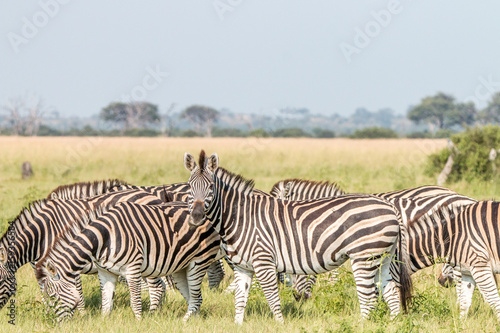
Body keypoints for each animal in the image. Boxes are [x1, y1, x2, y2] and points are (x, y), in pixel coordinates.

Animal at [34, 200, 222, 320]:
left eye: (52, 296)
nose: (51, 322)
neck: (104, 238)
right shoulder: (105, 272)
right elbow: (106, 303)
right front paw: (104, 323)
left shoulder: (133, 269)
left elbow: (135, 302)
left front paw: (139, 323)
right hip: (180, 268)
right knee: (194, 299)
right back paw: (191, 323)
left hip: (198, 263)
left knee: (196, 299)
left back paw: (184, 322)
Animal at [183, 150, 410, 322]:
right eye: (190, 187)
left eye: (211, 187)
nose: (195, 217)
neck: (239, 216)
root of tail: (390, 207)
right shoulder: (243, 267)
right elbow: (240, 300)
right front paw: (238, 326)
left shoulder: (263, 261)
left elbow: (272, 298)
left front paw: (280, 325)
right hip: (383, 257)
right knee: (391, 291)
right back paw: (393, 324)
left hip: (364, 256)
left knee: (369, 298)